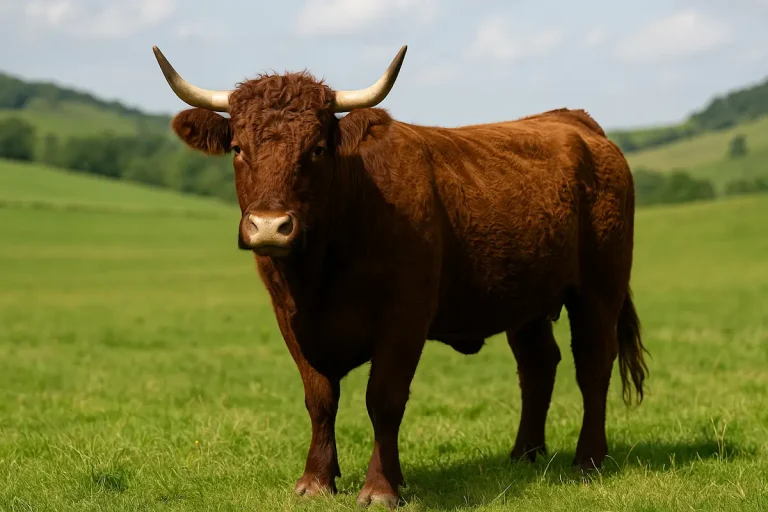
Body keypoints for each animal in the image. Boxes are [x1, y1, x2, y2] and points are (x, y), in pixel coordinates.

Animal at [151, 45, 649, 508]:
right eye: (238, 149)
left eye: (317, 148)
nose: (270, 226)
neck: (320, 274)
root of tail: (573, 121)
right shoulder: (290, 320)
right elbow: (320, 398)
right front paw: (316, 480)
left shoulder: (404, 318)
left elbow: (384, 399)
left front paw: (381, 488)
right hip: (526, 302)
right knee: (538, 365)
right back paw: (524, 454)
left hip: (599, 289)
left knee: (592, 363)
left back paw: (588, 460)